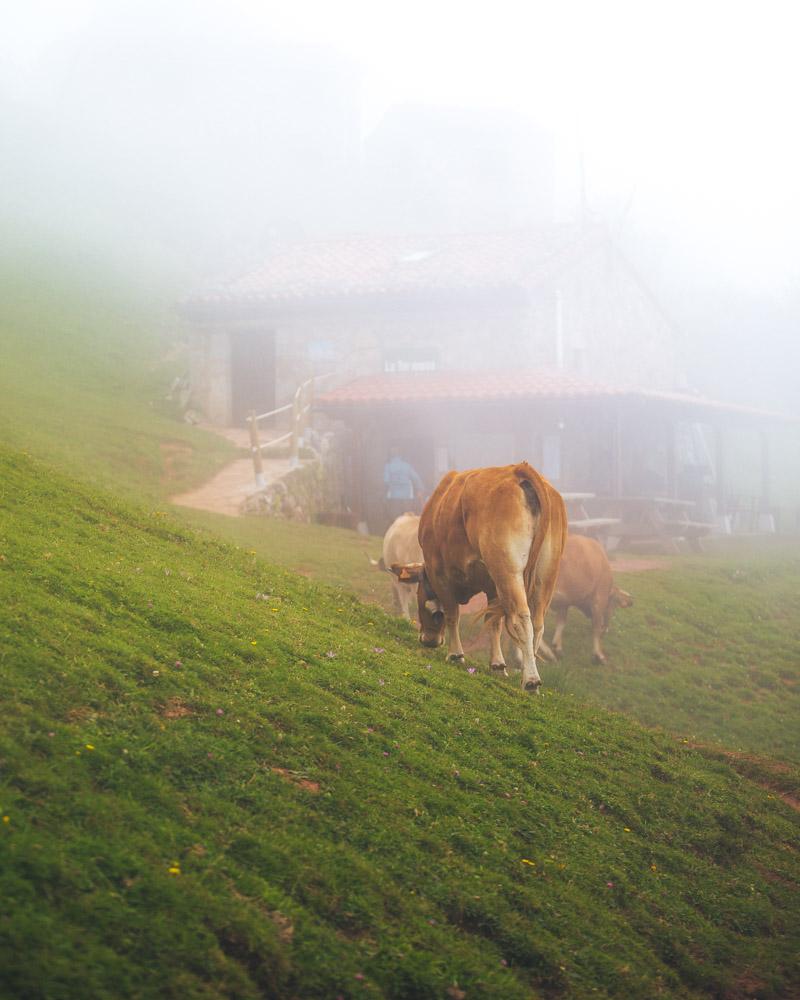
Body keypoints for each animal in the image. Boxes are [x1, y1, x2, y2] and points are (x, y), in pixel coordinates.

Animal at [390, 462, 564, 692]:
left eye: (419, 596)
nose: (428, 639)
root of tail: (519, 470)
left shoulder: (440, 572)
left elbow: (452, 613)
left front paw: (455, 655)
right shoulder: (492, 586)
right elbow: (493, 622)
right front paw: (497, 664)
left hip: (507, 570)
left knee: (521, 618)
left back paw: (531, 680)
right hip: (545, 576)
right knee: (537, 623)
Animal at [536, 536, 632, 668]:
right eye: (614, 606)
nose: (606, 629)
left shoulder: (564, 603)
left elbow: (561, 623)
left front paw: (557, 646)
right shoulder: (599, 600)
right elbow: (596, 628)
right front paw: (599, 655)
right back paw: (547, 654)